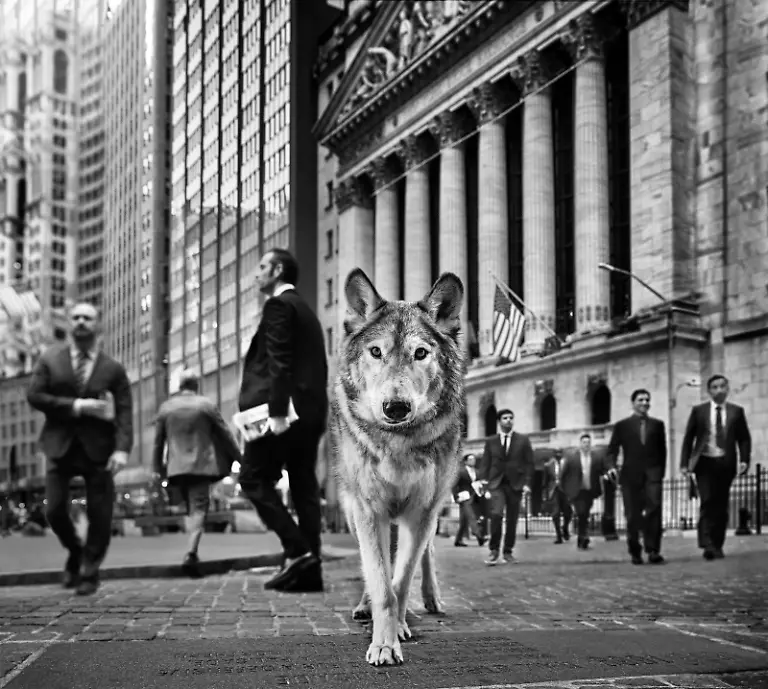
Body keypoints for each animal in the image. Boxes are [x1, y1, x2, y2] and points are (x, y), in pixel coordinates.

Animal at [329, 268, 465, 666]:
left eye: (420, 353)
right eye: (376, 352)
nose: (395, 407)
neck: (399, 443)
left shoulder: (421, 512)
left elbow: (401, 581)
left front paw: (397, 631)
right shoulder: (368, 510)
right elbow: (381, 581)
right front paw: (383, 644)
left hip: (431, 511)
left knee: (427, 554)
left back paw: (431, 599)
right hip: (352, 509)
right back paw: (364, 606)